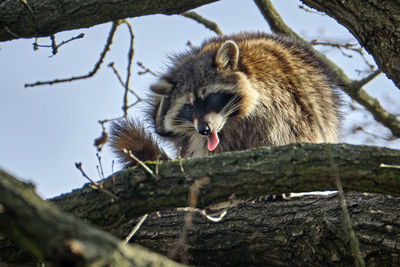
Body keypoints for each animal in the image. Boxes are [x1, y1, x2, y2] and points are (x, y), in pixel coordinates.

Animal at [109, 32, 340, 166]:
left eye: (210, 97)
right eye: (188, 107)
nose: (204, 129)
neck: (234, 118)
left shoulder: (286, 102)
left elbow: (291, 137)